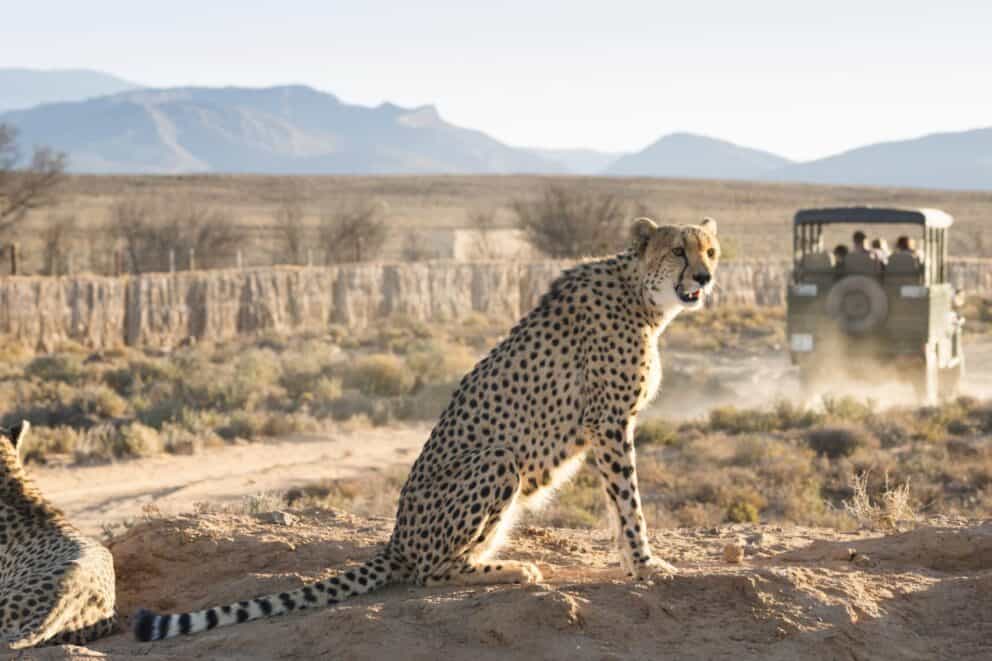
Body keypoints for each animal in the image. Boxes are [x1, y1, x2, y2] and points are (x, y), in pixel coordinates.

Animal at [133, 215, 720, 642]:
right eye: (677, 251)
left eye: (710, 251)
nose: (705, 278)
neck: (641, 297)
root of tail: (397, 538)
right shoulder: (610, 423)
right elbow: (629, 504)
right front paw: (646, 564)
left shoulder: (609, 426)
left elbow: (620, 508)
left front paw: (634, 562)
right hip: (496, 459)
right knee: (428, 571)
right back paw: (512, 569)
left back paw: (496, 559)